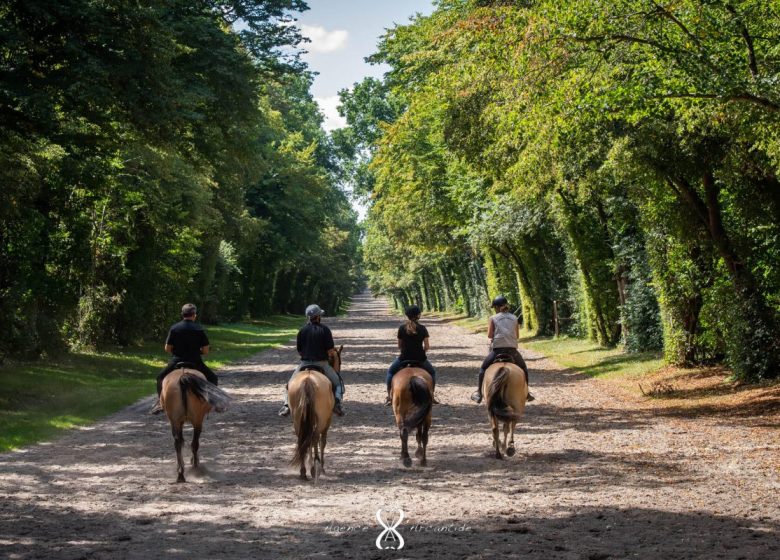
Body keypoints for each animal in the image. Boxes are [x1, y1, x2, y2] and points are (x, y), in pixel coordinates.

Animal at [286, 346, 342, 482]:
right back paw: (314, 468)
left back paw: (303, 471)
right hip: (321, 419)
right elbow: (322, 442)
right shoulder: (327, 421)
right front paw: (321, 467)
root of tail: (308, 379)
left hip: (297, 418)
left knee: (302, 438)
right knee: (315, 436)